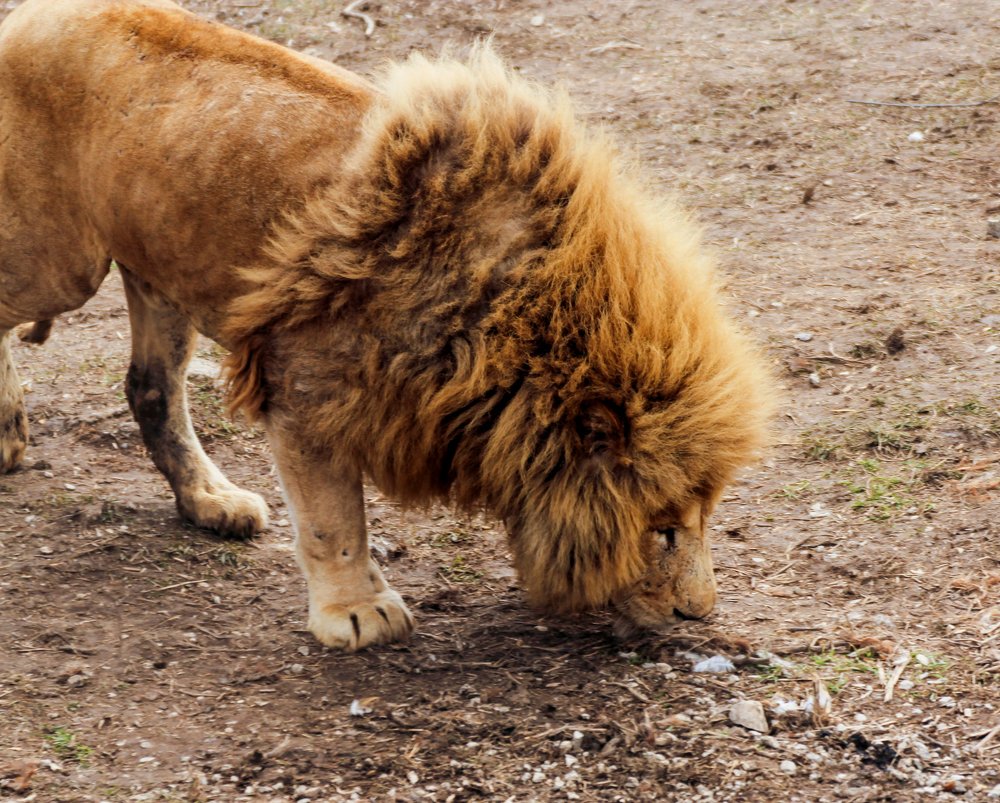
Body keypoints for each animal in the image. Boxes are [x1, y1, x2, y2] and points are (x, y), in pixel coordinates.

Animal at [0, 0, 773, 650]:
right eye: (664, 531)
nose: (699, 614)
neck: (512, 326)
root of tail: (34, 13)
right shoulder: (305, 387)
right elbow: (334, 519)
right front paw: (356, 613)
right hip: (60, 263)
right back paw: (9, 431)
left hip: (157, 268)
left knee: (151, 388)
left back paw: (210, 502)